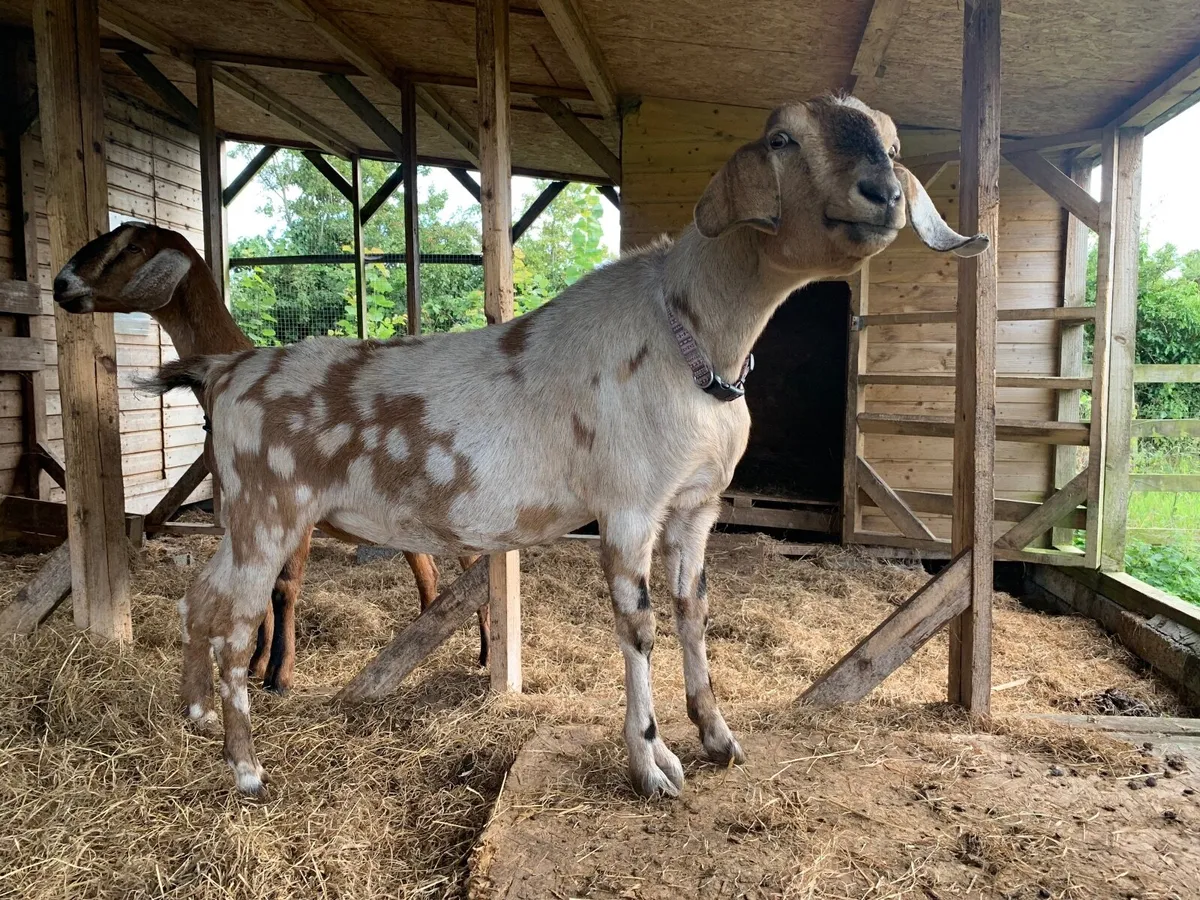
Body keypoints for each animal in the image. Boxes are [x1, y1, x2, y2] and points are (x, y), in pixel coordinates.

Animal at [52, 223, 487, 691]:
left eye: (132, 246)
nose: (61, 284)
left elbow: (284, 585)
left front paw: (279, 674)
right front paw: (256, 664)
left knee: (470, 563)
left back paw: (483, 653)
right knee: (429, 570)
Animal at [145, 94, 986, 797]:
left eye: (892, 143)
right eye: (783, 139)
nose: (882, 193)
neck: (690, 341)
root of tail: (226, 372)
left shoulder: (697, 505)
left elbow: (692, 610)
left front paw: (717, 737)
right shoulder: (628, 506)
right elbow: (639, 626)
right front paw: (653, 763)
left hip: (240, 517)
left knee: (200, 598)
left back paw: (193, 716)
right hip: (270, 511)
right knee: (235, 629)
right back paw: (246, 770)